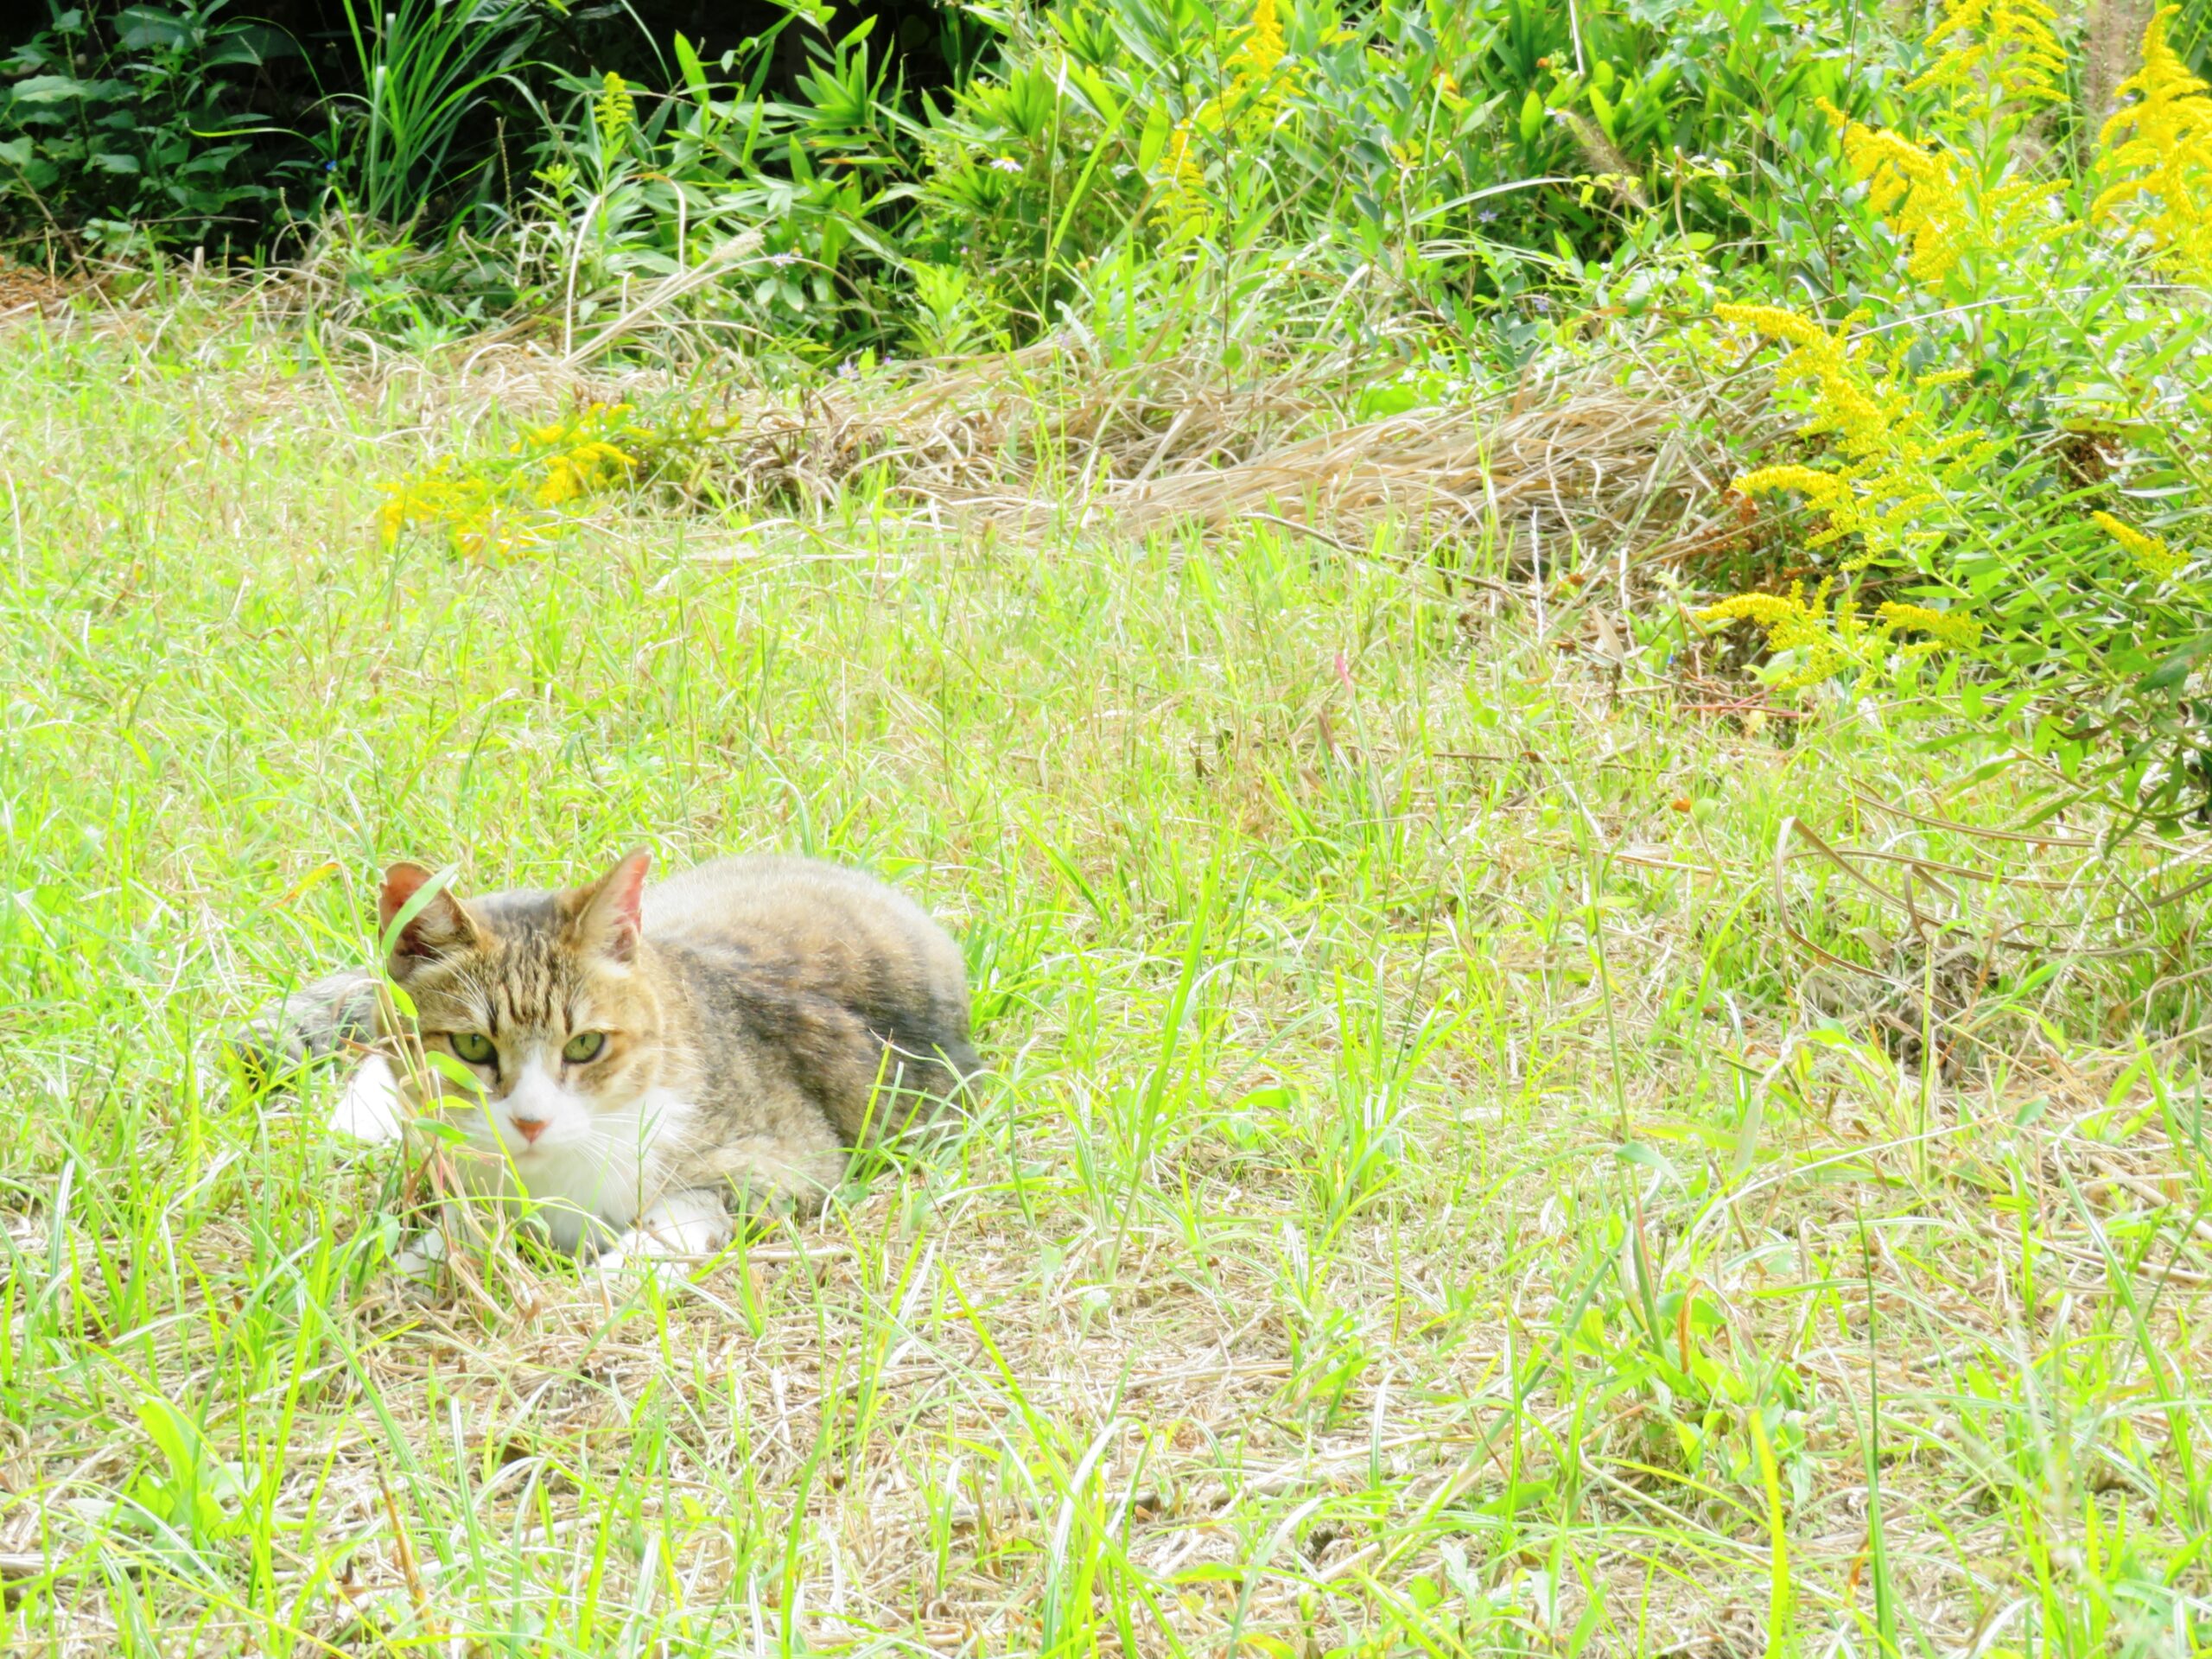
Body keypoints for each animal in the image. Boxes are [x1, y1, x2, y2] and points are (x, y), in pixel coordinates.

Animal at [231, 858, 977, 1274]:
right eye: (472, 1048)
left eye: (586, 1046)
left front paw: (617, 1275)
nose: (531, 1122)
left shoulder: (792, 1161)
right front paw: (421, 1259)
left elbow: (683, 1215)